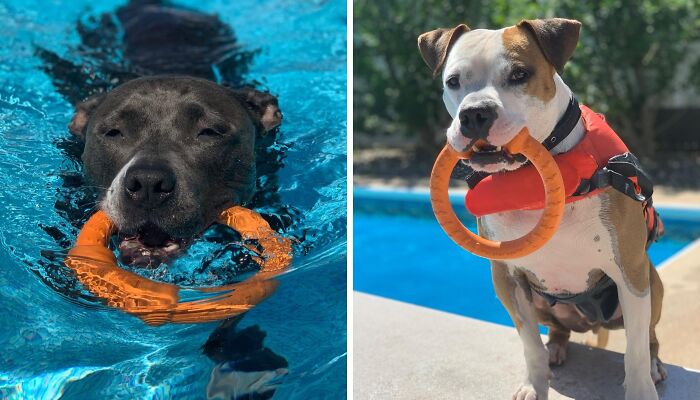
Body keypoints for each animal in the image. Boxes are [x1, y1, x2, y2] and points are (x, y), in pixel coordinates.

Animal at [418, 18, 664, 400]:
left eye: (520, 74)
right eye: (453, 81)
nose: (474, 113)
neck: (531, 176)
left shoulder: (630, 273)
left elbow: (634, 350)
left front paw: (640, 388)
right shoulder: (508, 279)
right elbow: (529, 343)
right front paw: (534, 384)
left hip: (652, 283)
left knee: (650, 337)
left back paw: (654, 365)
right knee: (557, 331)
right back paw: (557, 349)